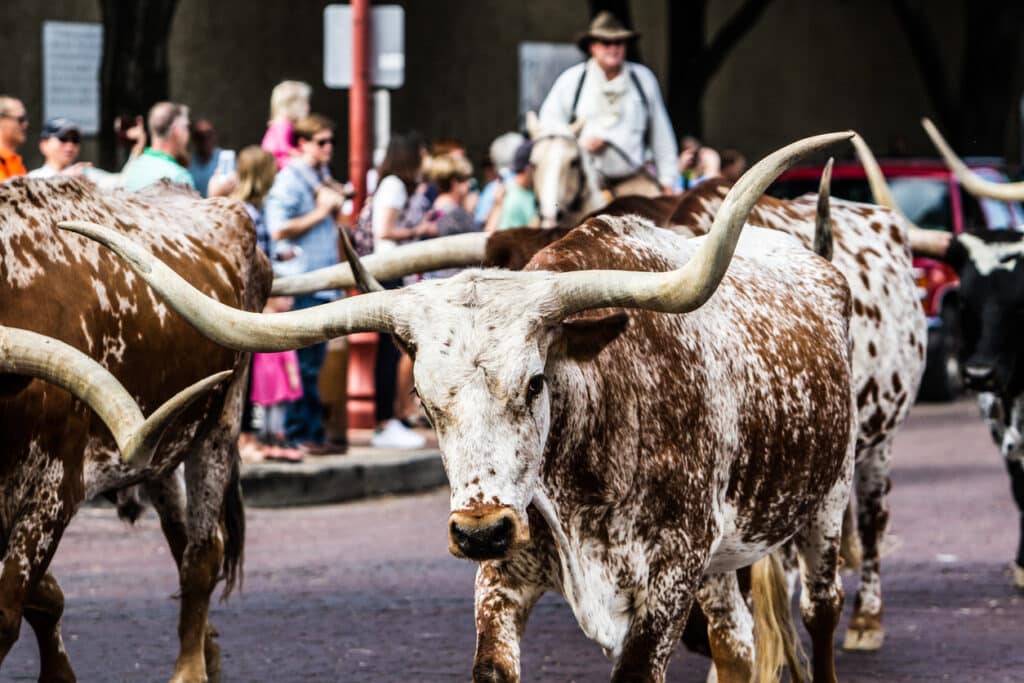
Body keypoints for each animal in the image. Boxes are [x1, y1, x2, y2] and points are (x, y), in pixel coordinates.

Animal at [0, 178, 270, 683]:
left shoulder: (53, 491)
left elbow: (8, 610)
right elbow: (44, 597)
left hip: (220, 425)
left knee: (203, 553)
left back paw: (190, 669)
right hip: (162, 449)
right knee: (180, 539)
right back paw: (208, 649)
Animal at [68, 131, 856, 679]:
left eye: (535, 382)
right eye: (423, 397)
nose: (480, 528)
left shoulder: (665, 586)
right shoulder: (503, 581)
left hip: (825, 505)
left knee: (820, 611)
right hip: (725, 561)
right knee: (735, 643)